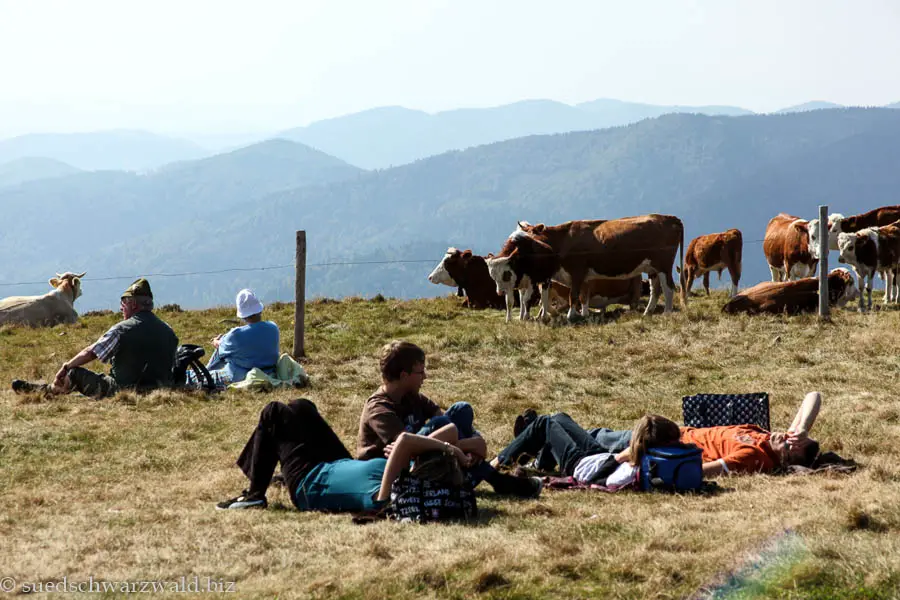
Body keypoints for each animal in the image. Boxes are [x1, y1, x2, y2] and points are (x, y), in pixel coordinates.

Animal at [486, 213, 684, 322]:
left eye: (527, 238)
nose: (513, 241)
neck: (562, 241)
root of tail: (669, 218)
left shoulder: (577, 272)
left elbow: (573, 296)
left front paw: (570, 316)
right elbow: (562, 298)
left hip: (664, 265)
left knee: (668, 288)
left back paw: (667, 312)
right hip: (652, 269)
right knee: (655, 290)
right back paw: (647, 312)